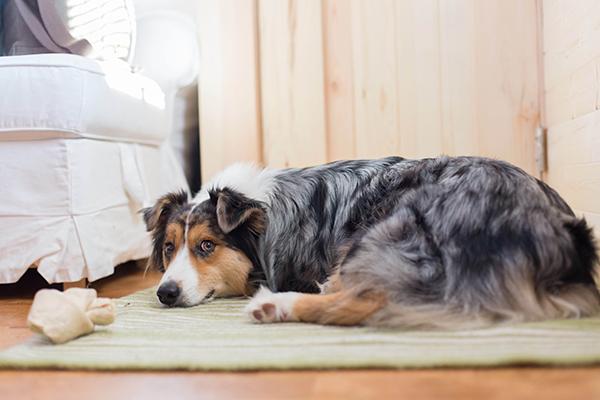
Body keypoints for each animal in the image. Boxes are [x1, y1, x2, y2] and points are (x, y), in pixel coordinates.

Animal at [142, 156, 600, 328]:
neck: (263, 213)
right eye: (168, 248)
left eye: (207, 246)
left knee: (368, 301)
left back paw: (275, 305)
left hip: (389, 229)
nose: (165, 293)